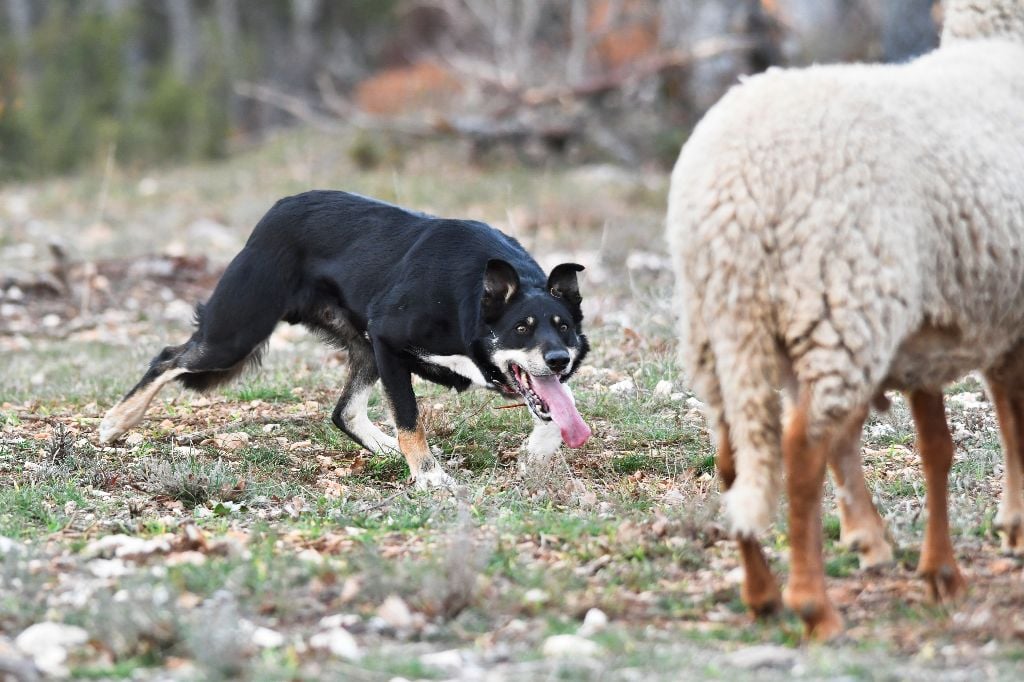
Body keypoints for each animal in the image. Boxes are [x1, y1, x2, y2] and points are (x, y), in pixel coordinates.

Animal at [663, 0, 1024, 638]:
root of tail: (732, 199)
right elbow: (1013, 420)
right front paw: (1009, 531)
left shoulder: (936, 331)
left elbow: (940, 446)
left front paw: (945, 569)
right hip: (841, 306)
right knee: (801, 448)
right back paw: (814, 605)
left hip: (722, 329)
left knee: (735, 456)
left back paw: (762, 593)